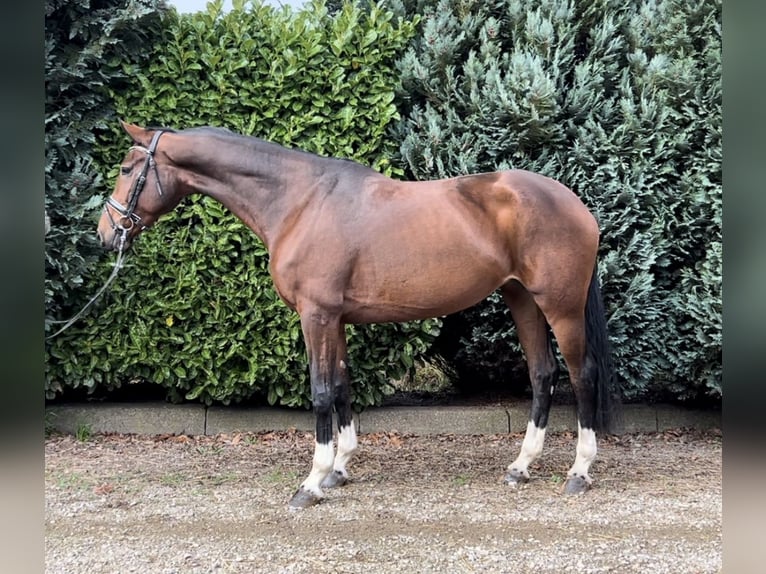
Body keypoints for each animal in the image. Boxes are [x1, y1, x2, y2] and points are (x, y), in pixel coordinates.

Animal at [97, 121, 624, 508]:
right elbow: (342, 383)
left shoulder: (316, 316)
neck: (299, 202)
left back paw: (579, 472)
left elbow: (320, 391)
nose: (106, 233)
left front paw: (311, 483)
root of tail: (577, 206)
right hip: (522, 299)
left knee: (581, 374)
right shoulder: (335, 320)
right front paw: (339, 468)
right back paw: (520, 467)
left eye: (125, 167)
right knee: (542, 373)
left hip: (560, 306)